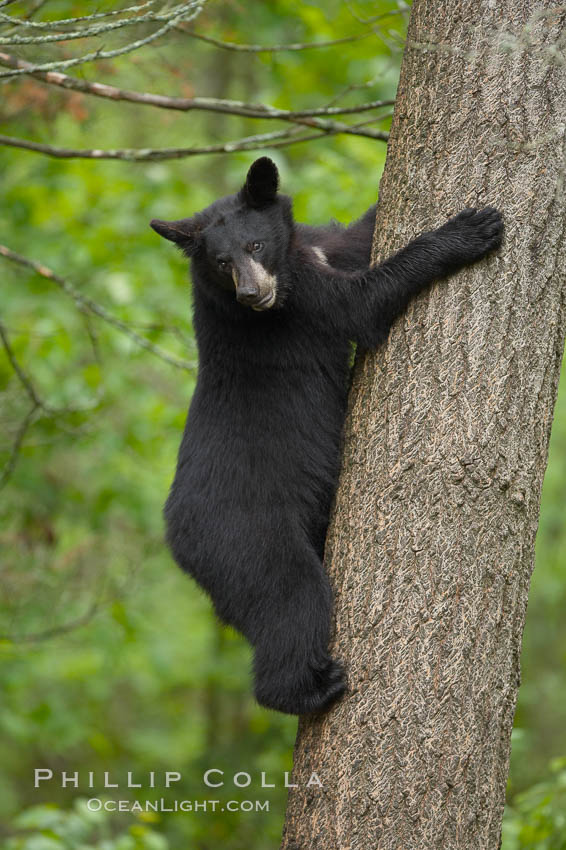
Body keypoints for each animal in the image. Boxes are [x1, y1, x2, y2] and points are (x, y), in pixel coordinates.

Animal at [152, 156, 506, 712]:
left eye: (255, 246)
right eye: (221, 262)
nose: (253, 294)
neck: (285, 276)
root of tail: (176, 538)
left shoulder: (317, 250)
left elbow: (356, 237)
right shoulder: (303, 306)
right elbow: (362, 303)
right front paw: (469, 229)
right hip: (246, 537)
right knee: (291, 600)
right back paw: (312, 688)